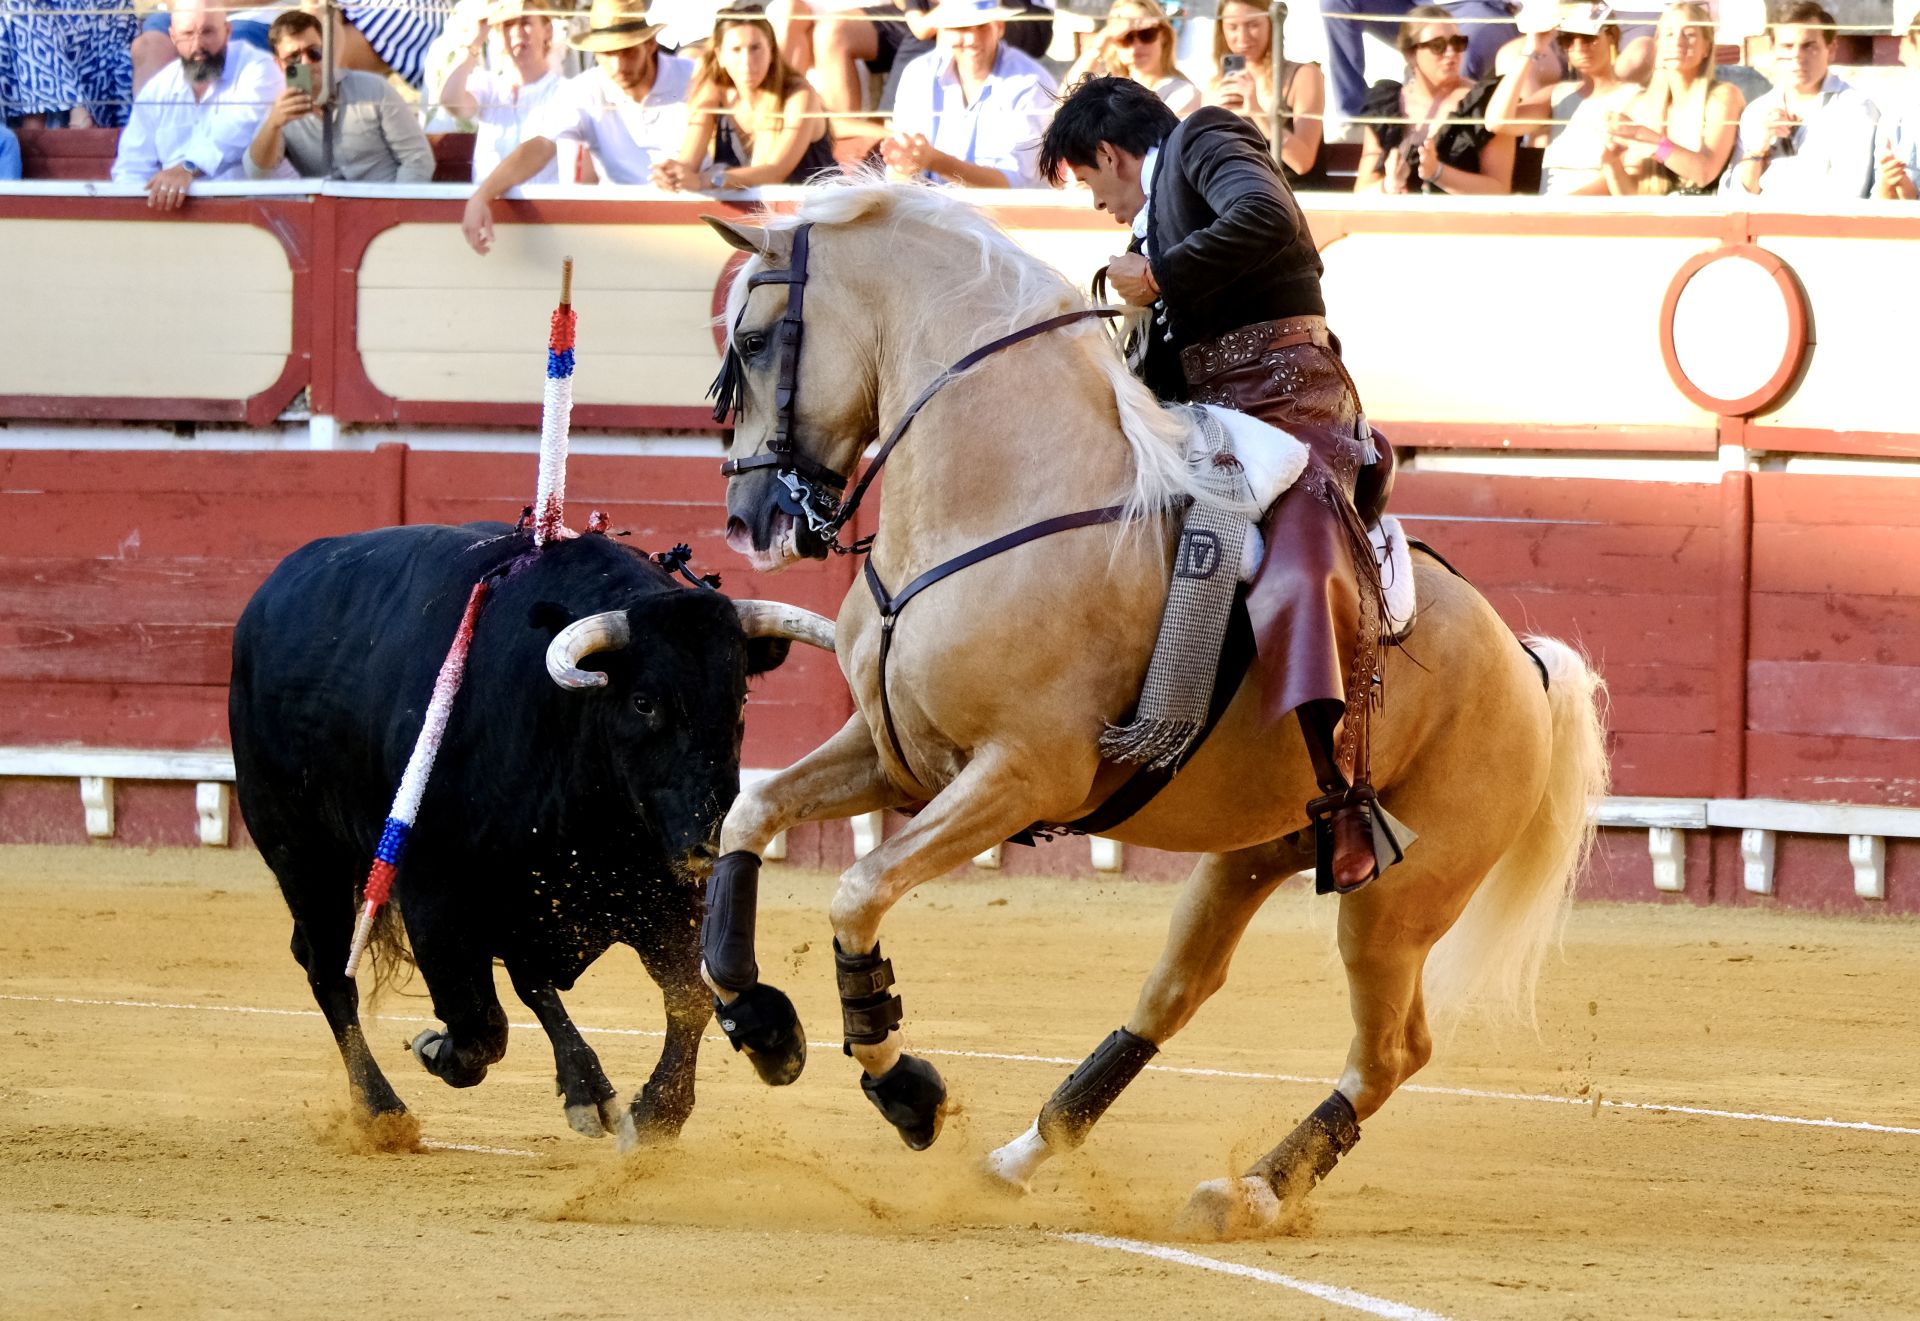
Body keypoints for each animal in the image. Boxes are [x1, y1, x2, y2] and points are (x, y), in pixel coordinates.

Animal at [226, 522, 794, 1136]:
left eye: (740, 699)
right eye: (644, 702)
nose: (713, 838)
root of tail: (268, 594)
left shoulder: (655, 891)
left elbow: (686, 993)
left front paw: (655, 1112)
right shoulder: (436, 898)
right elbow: (480, 1025)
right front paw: (438, 1050)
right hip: (301, 853)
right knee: (329, 968)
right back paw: (382, 1111)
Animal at [691, 177, 1605, 1236]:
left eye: (756, 342)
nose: (749, 522)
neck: (1002, 492)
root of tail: (1525, 665)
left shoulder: (1018, 775)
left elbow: (857, 888)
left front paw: (906, 1087)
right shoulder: (896, 755)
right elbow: (751, 812)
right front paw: (760, 1022)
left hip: (1400, 899)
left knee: (1391, 1051)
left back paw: (1251, 1190)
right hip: (1251, 856)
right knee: (1175, 992)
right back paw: (1023, 1155)